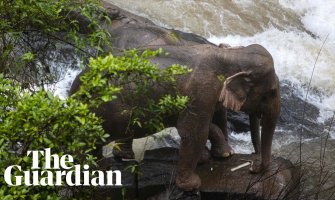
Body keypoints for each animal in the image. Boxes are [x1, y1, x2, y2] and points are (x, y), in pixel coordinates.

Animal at [70, 43, 280, 191]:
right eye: (271, 92)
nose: (252, 167)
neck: (232, 54)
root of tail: (74, 89)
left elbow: (198, 127)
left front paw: (218, 155)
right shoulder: (201, 91)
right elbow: (194, 132)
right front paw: (192, 185)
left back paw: (121, 158)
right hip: (106, 110)